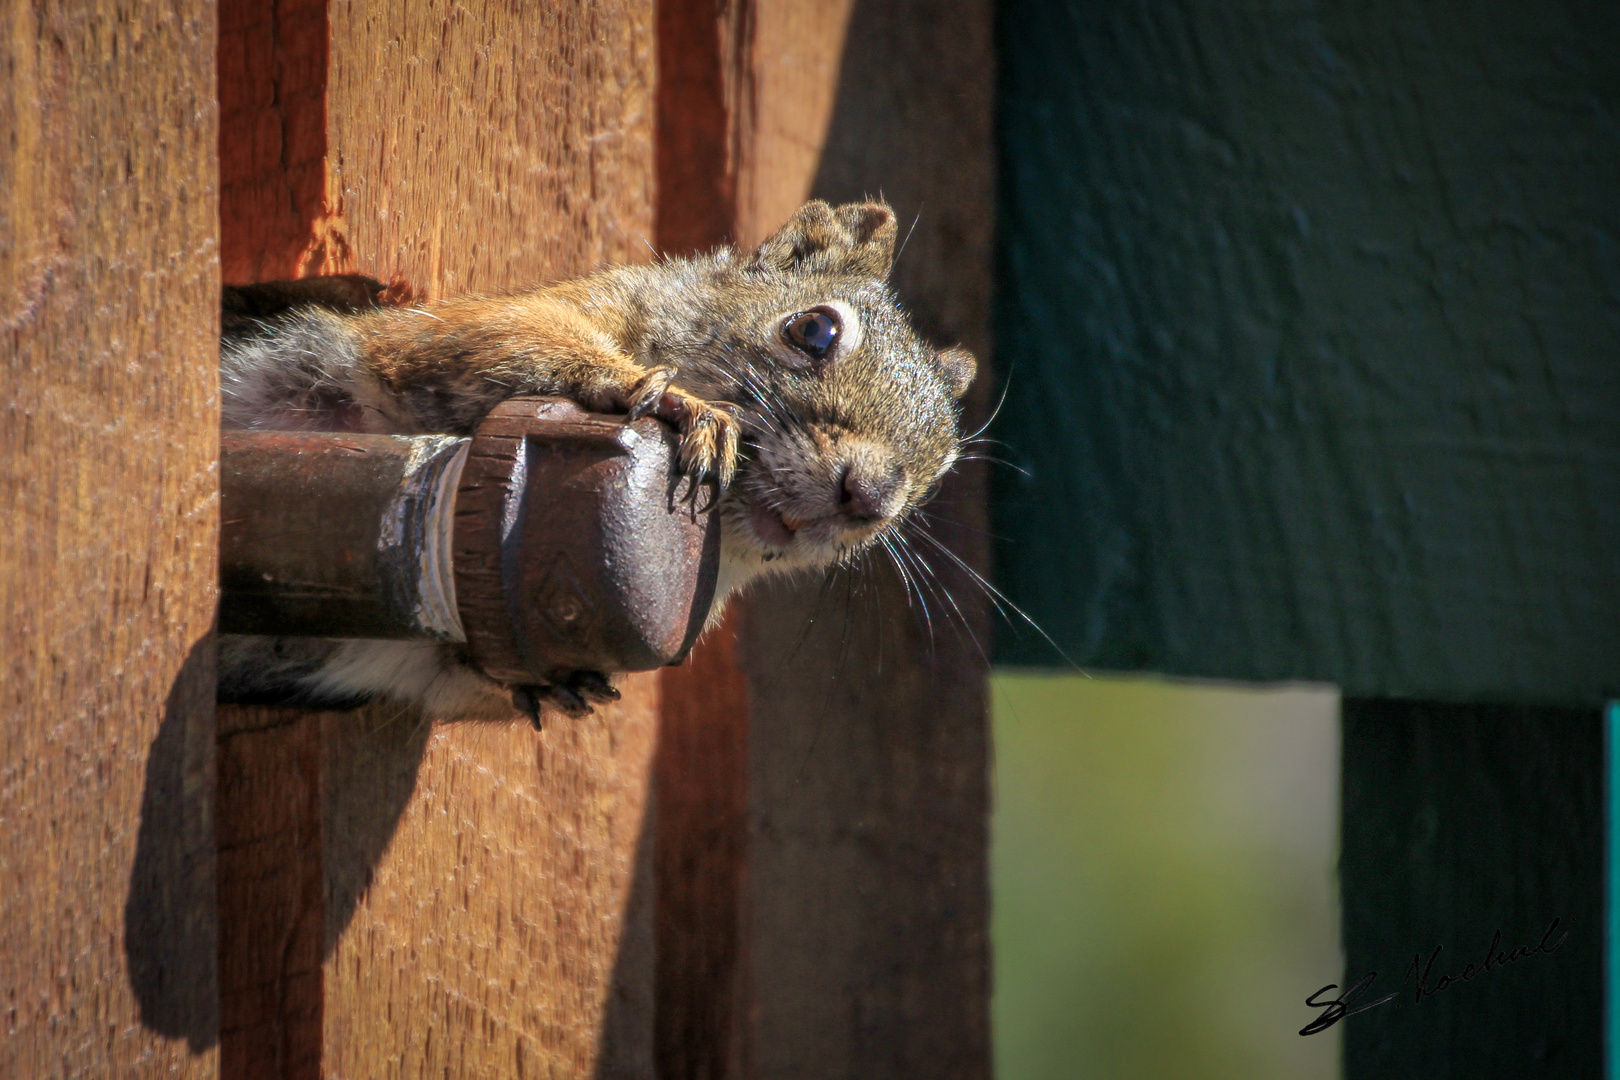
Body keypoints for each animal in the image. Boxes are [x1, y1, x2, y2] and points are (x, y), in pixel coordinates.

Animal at [215, 202, 972, 725]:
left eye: (940, 472)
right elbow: (503, 336)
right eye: (813, 329)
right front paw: (675, 403)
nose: (868, 495)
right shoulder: (457, 325)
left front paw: (559, 680)